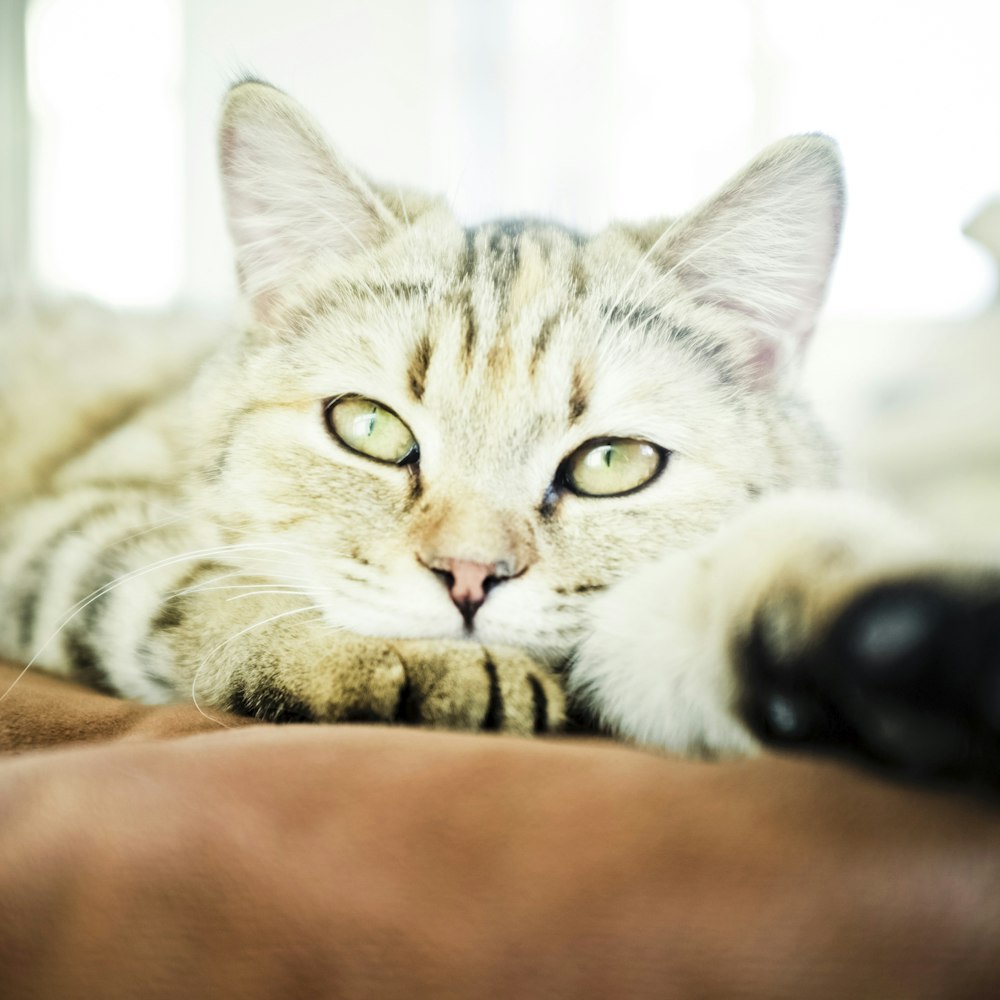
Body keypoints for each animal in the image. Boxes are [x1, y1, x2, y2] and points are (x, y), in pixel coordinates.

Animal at [0, 82, 996, 776]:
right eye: (369, 427)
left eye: (611, 462)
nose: (469, 577)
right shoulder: (67, 532)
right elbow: (210, 587)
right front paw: (383, 660)